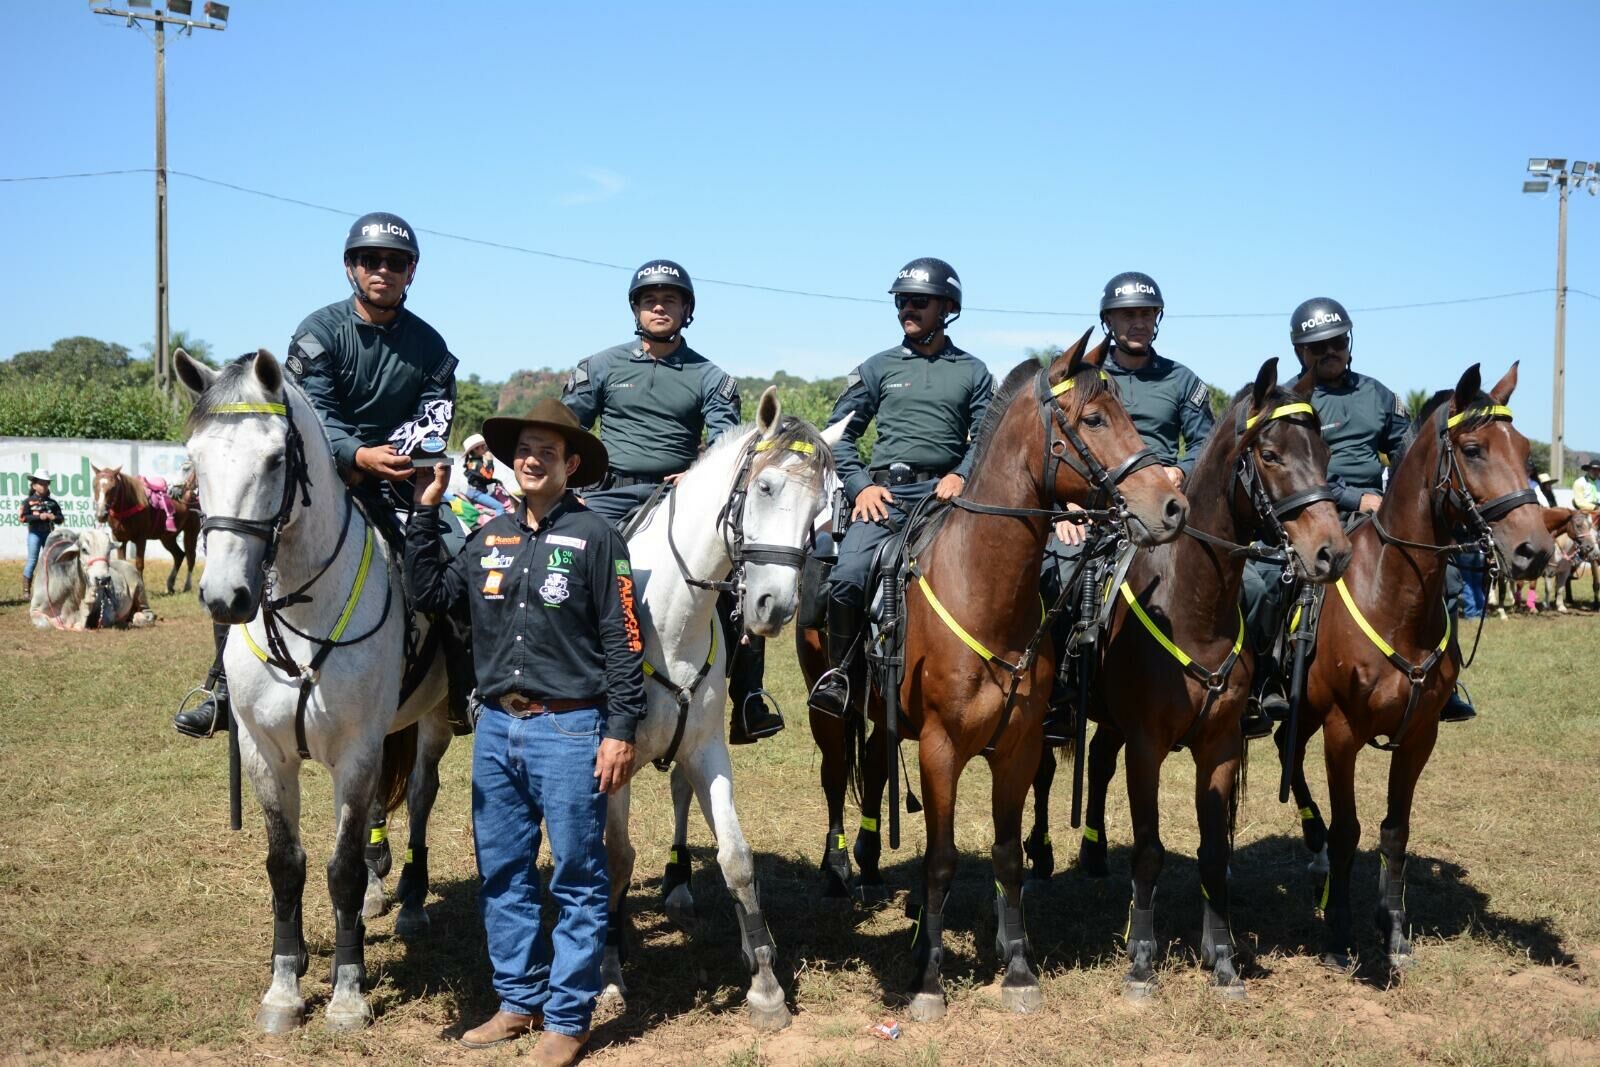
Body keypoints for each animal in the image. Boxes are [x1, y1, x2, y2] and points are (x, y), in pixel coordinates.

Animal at [176, 350, 451, 1036]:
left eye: (277, 458)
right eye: (193, 458)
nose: (226, 597)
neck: (302, 614)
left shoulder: (354, 753)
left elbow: (342, 867)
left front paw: (348, 992)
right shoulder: (265, 754)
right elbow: (287, 863)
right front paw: (285, 982)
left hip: (433, 719)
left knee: (422, 796)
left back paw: (410, 901)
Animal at [601, 388, 851, 1030]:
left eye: (821, 511)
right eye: (763, 487)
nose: (773, 606)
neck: (665, 616)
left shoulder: (705, 746)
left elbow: (737, 859)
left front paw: (765, 987)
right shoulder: (610, 761)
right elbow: (612, 859)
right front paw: (607, 972)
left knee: (679, 795)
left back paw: (679, 885)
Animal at [800, 329, 1190, 1023]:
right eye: (1095, 419)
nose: (1170, 505)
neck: (983, 589)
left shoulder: (1018, 746)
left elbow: (1007, 857)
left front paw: (1018, 970)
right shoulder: (940, 747)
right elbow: (940, 859)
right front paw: (928, 979)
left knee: (873, 768)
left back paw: (872, 865)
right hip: (831, 712)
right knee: (835, 775)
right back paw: (839, 867)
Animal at [1043, 361, 1356, 1004]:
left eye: (1323, 452)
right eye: (1270, 454)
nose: (1330, 553)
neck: (1192, 606)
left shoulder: (1219, 747)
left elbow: (1213, 854)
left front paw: (1223, 960)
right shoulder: (1147, 746)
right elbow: (1149, 851)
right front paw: (1141, 959)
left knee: (1099, 760)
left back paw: (1092, 853)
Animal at [1280, 363, 1555, 972]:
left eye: (1526, 449)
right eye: (1473, 449)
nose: (1536, 551)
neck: (1395, 597)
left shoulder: (1420, 735)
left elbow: (1395, 830)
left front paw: (1393, 928)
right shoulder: (1342, 731)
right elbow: (1348, 829)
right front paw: (1339, 933)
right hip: (1304, 714)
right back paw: (1316, 860)